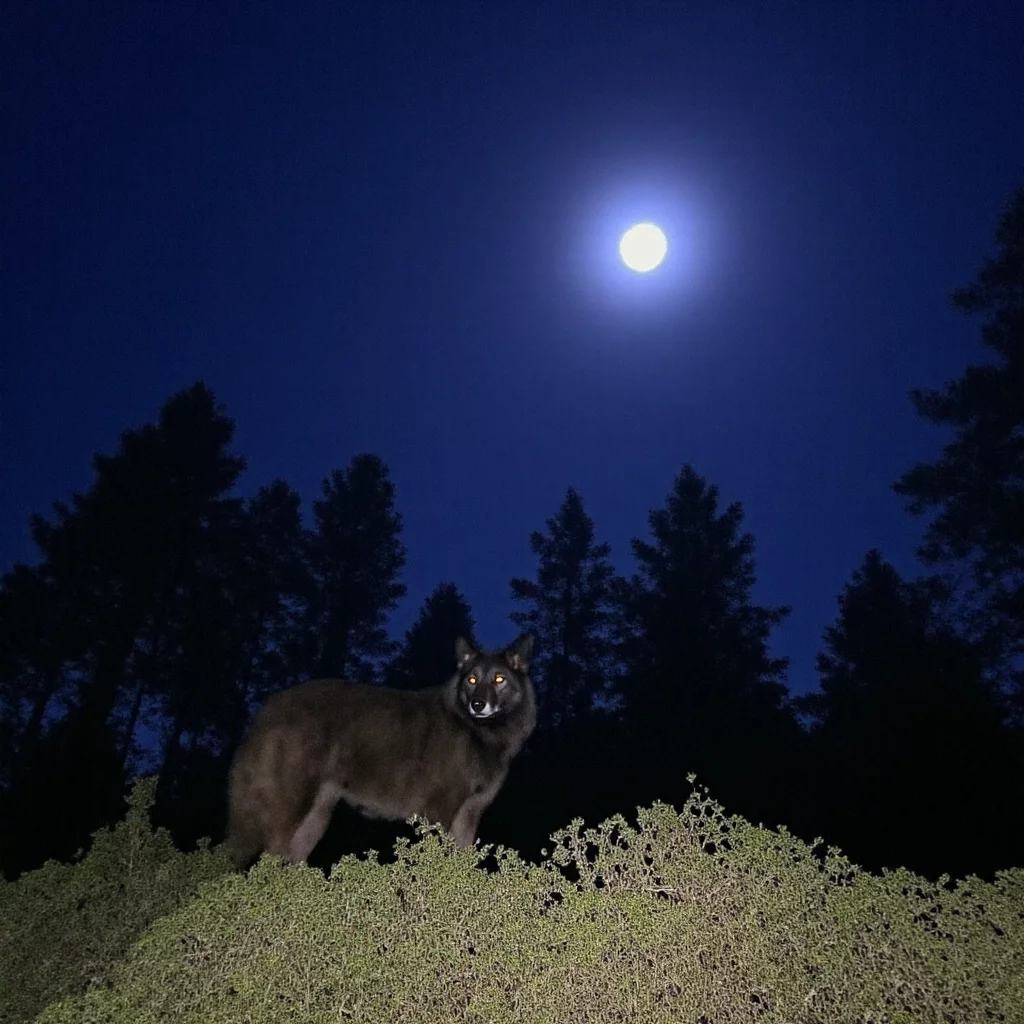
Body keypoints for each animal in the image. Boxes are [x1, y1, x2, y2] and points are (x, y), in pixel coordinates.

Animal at [225, 633, 536, 868]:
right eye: (472, 679)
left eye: (499, 679)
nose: (478, 704)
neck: (475, 729)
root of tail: (267, 709)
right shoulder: (439, 809)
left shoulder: (470, 814)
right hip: (290, 805)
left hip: (318, 815)